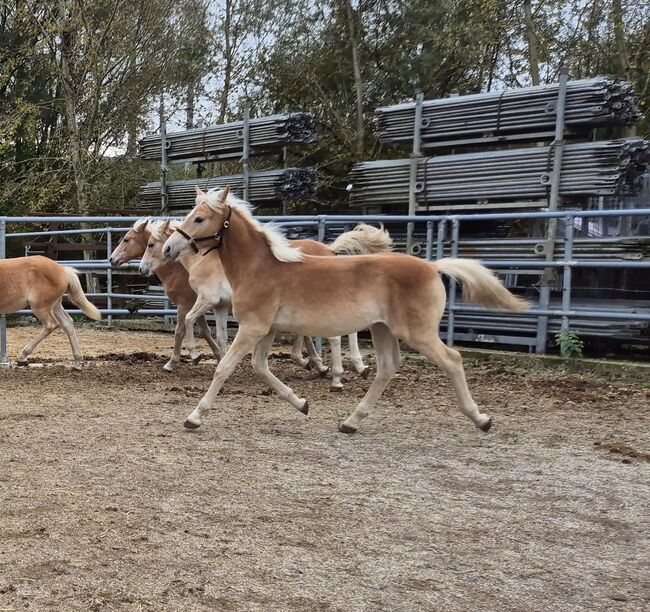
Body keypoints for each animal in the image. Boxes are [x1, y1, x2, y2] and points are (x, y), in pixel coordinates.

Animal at [110, 220, 221, 372]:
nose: (111, 259)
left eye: (126, 239)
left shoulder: (184, 305)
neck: (181, 268)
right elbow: (205, 331)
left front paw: (171, 363)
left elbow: (179, 331)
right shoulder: (195, 305)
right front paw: (219, 357)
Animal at [162, 189, 528, 432]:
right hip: (382, 329)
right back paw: (351, 421)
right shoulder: (266, 329)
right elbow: (260, 367)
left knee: (452, 360)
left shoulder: (254, 327)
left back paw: (481, 419)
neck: (261, 268)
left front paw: (194, 417)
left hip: (418, 333)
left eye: (199, 218)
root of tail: (432, 266)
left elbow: (224, 368)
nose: (169, 247)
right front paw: (302, 404)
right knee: (386, 368)